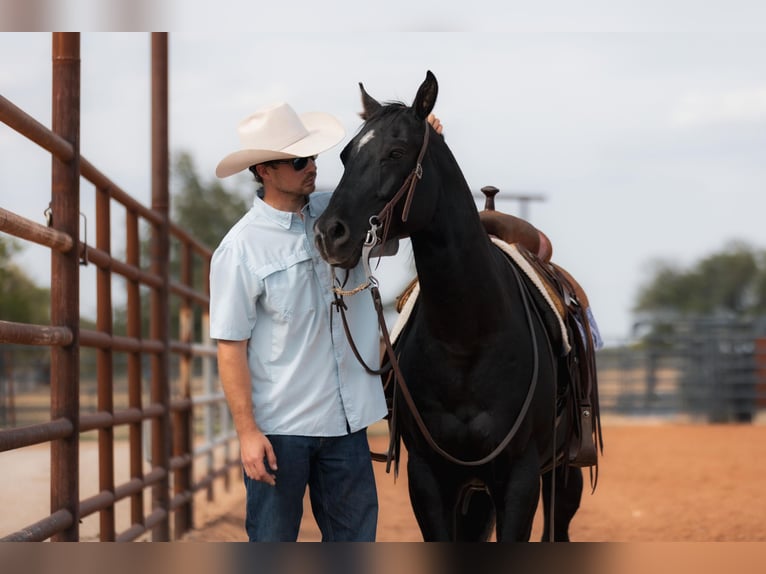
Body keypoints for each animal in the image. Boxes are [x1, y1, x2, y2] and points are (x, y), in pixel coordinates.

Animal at [316, 72, 584, 544]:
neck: (468, 338)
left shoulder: (520, 479)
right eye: (347, 155)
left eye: (396, 152)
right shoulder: (429, 479)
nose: (331, 232)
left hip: (563, 478)